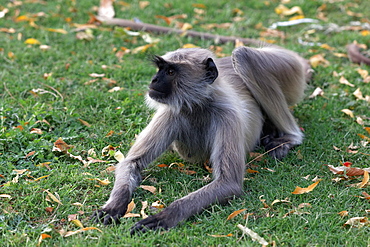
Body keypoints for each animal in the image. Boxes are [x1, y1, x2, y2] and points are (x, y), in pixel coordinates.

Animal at [92, 45, 306, 233]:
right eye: (160, 69)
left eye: (171, 71)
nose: (153, 80)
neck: (198, 104)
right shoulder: (170, 112)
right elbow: (131, 162)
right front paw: (113, 206)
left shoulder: (228, 117)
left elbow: (229, 182)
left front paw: (165, 216)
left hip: (289, 67)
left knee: (243, 55)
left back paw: (290, 137)